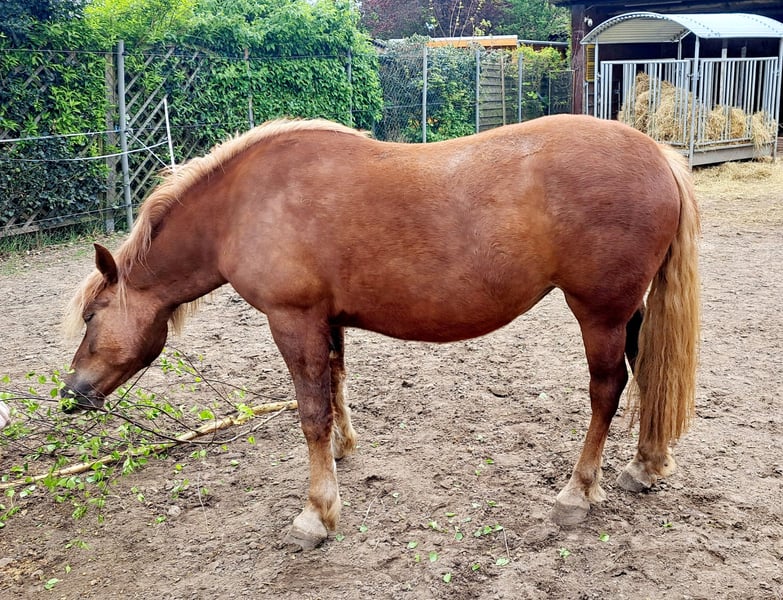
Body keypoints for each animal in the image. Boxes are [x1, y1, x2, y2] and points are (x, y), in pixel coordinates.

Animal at [61, 114, 700, 551]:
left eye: (92, 316)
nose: (72, 393)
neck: (246, 204)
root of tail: (655, 153)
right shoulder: (326, 320)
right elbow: (336, 385)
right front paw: (344, 452)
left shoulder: (292, 320)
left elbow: (310, 411)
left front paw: (316, 514)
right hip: (629, 313)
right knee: (646, 375)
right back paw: (644, 466)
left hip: (599, 314)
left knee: (606, 390)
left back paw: (576, 491)